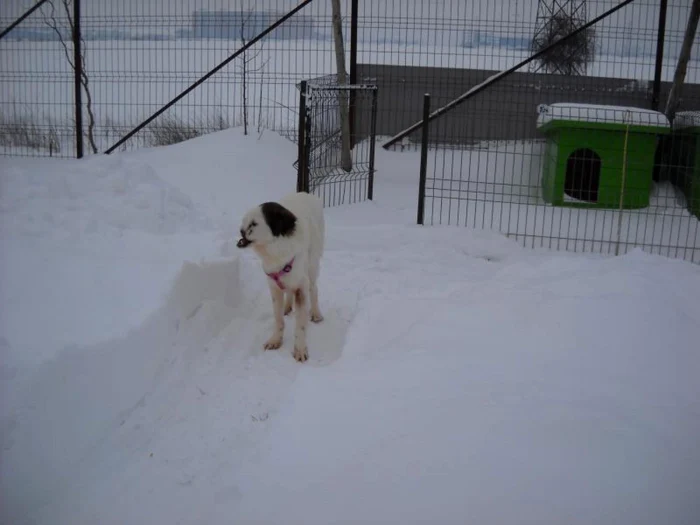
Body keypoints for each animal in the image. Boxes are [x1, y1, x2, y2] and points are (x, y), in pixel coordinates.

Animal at [235, 191, 322, 360]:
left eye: (254, 224)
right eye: (244, 221)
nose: (240, 231)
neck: (277, 250)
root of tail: (304, 193)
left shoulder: (301, 287)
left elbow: (300, 324)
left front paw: (300, 349)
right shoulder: (274, 287)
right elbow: (278, 318)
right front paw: (275, 340)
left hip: (312, 265)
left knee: (314, 288)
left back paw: (315, 313)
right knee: (288, 292)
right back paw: (287, 306)